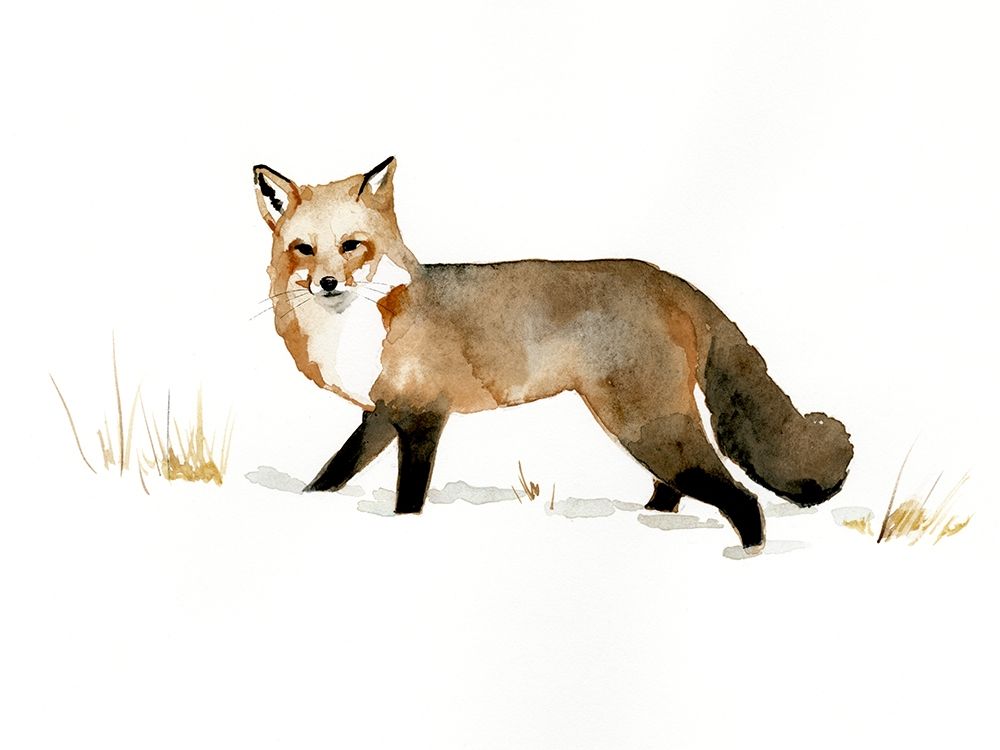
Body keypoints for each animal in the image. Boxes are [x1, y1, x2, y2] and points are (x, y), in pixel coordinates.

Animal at [253, 156, 853, 553]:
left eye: (352, 245)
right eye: (304, 249)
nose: (328, 283)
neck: (366, 323)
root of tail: (671, 280)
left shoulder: (423, 416)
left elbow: (408, 495)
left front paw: (403, 530)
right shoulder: (381, 414)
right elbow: (333, 471)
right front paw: (306, 506)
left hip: (647, 426)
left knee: (738, 497)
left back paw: (747, 554)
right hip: (649, 427)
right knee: (675, 489)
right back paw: (648, 526)